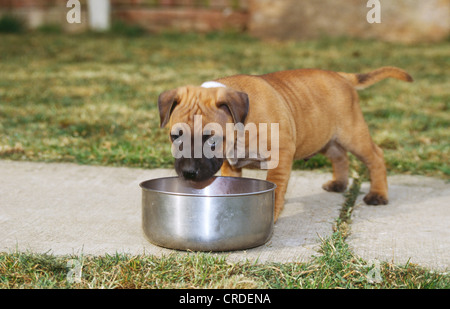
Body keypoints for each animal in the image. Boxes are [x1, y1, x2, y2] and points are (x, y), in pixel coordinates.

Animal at [160, 67, 414, 221]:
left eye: (211, 138)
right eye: (175, 136)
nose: (188, 173)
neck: (241, 124)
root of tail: (342, 76)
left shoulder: (280, 154)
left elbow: (276, 184)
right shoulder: (230, 164)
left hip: (353, 134)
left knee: (375, 156)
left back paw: (378, 194)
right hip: (325, 138)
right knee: (340, 156)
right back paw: (339, 183)